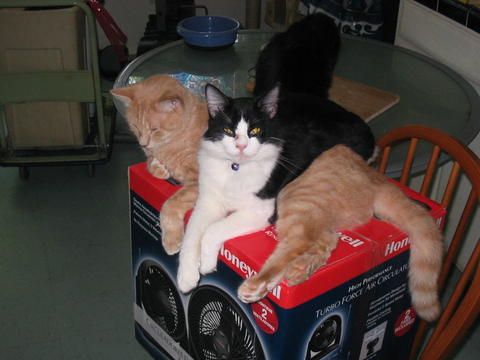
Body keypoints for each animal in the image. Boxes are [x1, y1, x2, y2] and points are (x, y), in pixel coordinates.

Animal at [110, 74, 208, 253]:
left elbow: (170, 204)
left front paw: (171, 240)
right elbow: (150, 163)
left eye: (154, 129)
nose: (143, 144)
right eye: (135, 126)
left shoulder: (199, 180)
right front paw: (160, 169)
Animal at [176, 84, 376, 292]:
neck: (236, 168)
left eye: (255, 130)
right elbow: (191, 233)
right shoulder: (208, 201)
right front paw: (186, 277)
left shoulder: (261, 210)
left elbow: (213, 229)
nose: (241, 146)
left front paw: (207, 263)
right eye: (228, 130)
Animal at [238, 143, 444, 320]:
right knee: (327, 241)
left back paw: (259, 284)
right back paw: (300, 270)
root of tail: (375, 176)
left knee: (298, 242)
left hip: (296, 201)